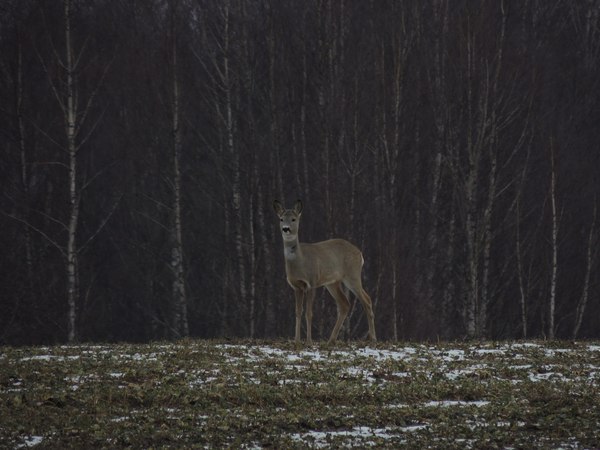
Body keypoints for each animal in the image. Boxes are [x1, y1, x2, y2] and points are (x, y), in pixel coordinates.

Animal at [272, 200, 376, 344]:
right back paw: (331, 340)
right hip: (332, 283)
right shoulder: (296, 286)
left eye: (293, 219)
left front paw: (309, 341)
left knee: (366, 300)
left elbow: (309, 313)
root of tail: (360, 253)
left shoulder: (311, 282)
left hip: (352, 275)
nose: (286, 228)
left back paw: (373, 338)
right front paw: (296, 341)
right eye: (281, 219)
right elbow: (298, 312)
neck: (300, 261)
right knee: (345, 304)